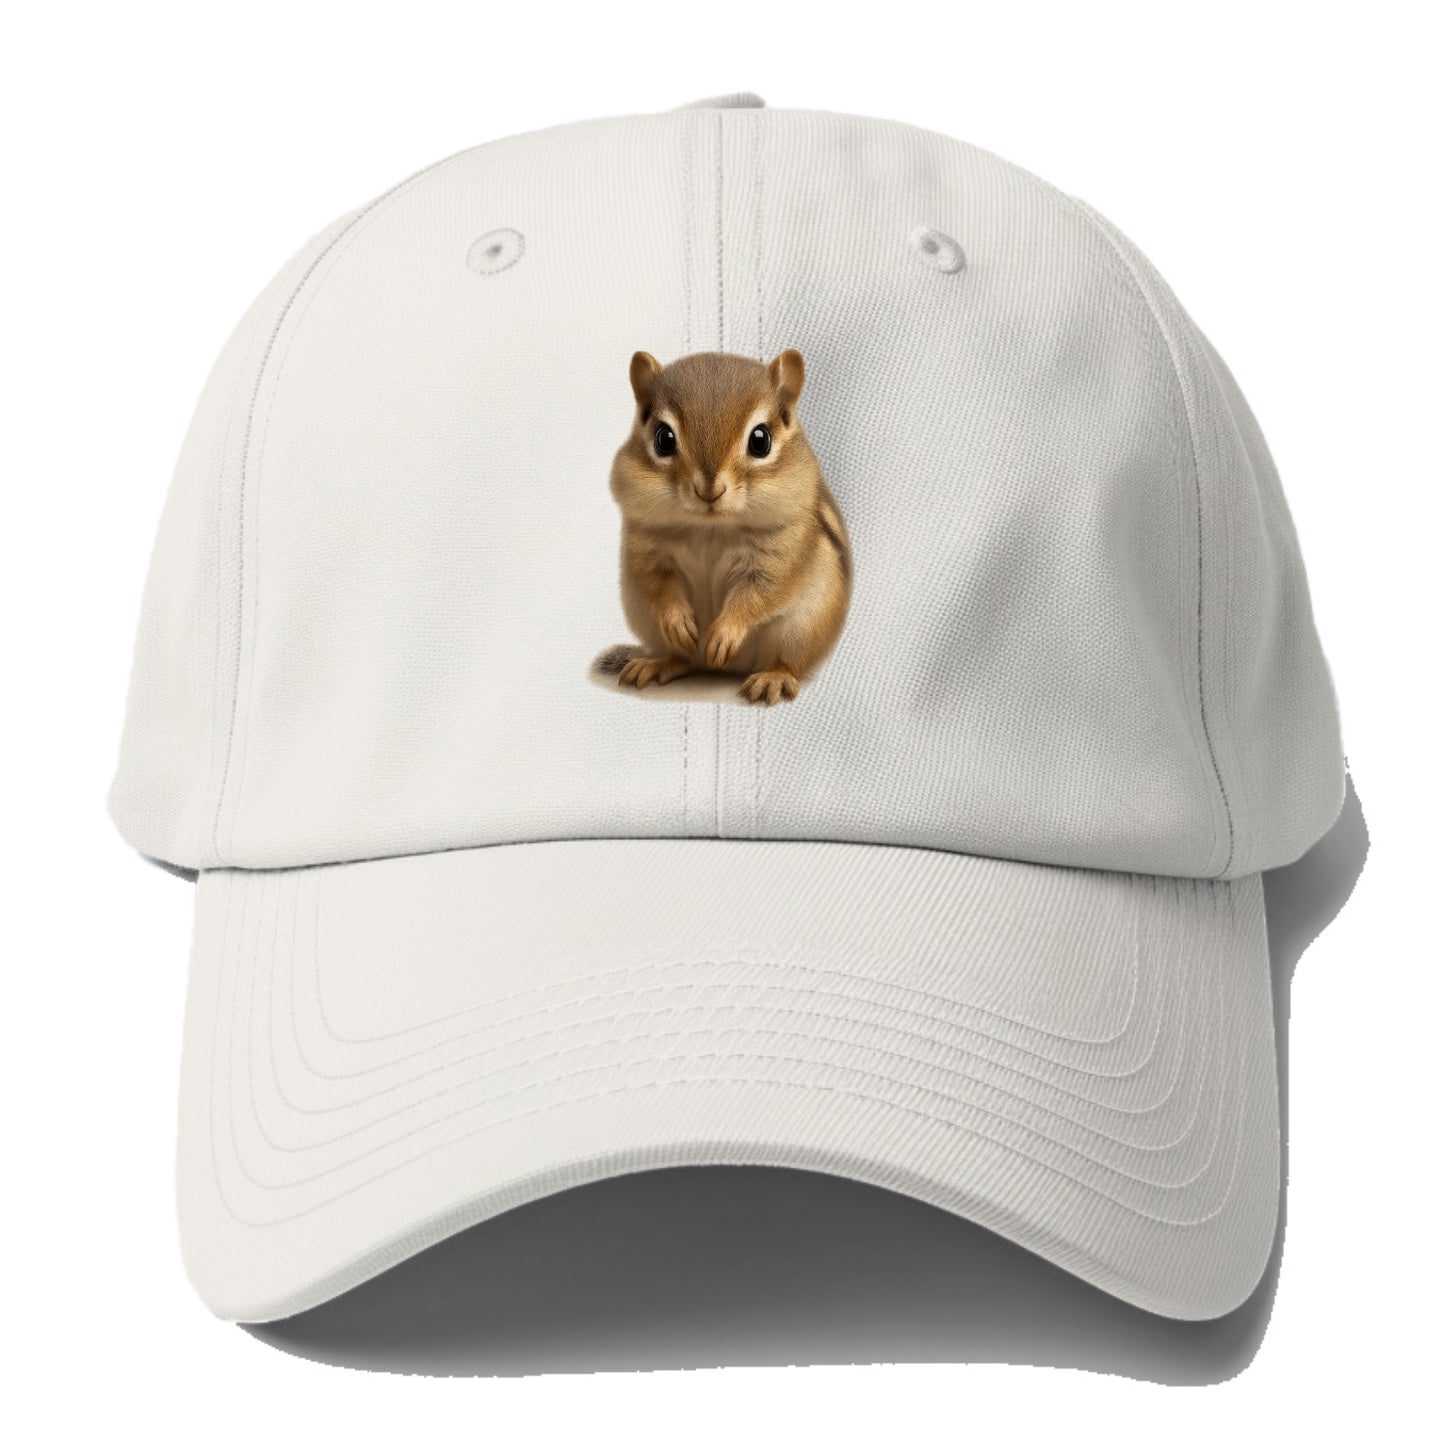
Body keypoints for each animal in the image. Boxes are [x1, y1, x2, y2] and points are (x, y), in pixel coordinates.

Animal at [607, 348, 852, 705]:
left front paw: (724, 634)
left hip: (801, 628)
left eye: (761, 440)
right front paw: (679, 621)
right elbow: (657, 584)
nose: (709, 491)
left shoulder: (779, 557)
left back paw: (773, 678)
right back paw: (657, 663)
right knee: (683, 659)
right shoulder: (647, 550)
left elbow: (758, 595)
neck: (711, 527)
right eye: (663, 439)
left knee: (788, 662)